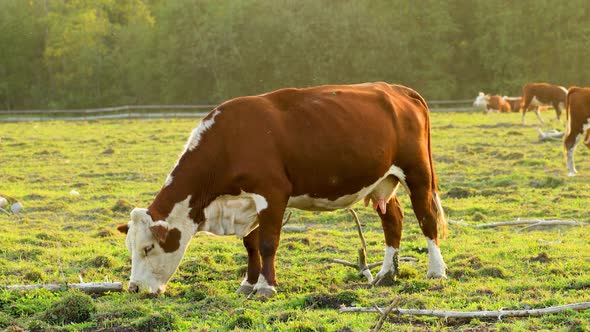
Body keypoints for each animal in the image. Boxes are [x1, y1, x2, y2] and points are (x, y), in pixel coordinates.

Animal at [115, 82, 448, 296]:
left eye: (148, 248)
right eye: (131, 248)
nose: (134, 288)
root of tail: (398, 89)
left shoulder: (272, 194)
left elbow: (267, 243)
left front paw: (266, 286)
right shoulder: (248, 202)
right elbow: (250, 244)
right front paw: (248, 284)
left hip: (417, 173)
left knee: (426, 218)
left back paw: (436, 270)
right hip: (382, 181)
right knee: (393, 220)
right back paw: (386, 274)